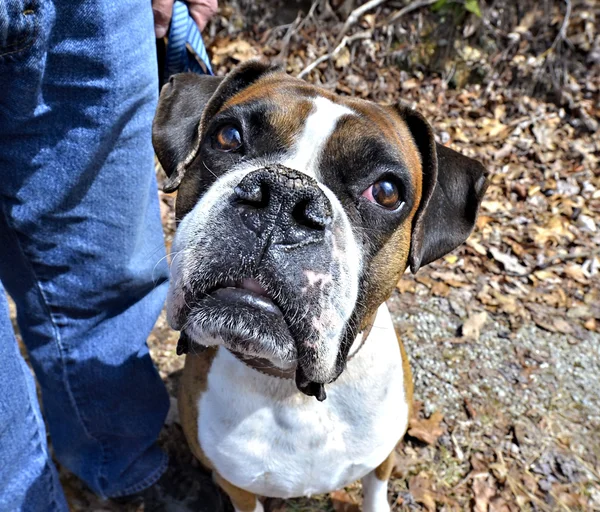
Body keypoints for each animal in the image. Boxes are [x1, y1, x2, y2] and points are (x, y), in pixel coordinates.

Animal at [151, 61, 488, 512]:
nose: (282, 195)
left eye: (386, 191)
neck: (289, 390)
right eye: (228, 136)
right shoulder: (238, 487)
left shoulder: (382, 458)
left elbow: (375, 491)